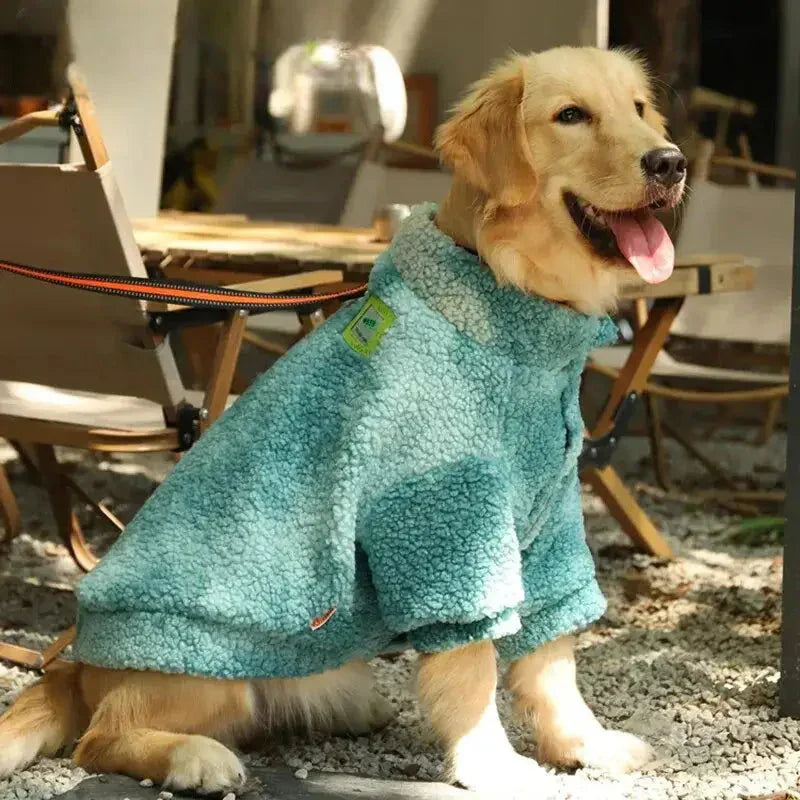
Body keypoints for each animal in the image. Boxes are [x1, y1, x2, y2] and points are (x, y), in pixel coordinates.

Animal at [1, 47, 688, 796]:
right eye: (571, 115)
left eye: (640, 109)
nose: (671, 162)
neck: (511, 319)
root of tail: (75, 662)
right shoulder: (445, 516)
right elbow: (473, 662)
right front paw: (495, 766)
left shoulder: (551, 519)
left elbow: (553, 658)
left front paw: (586, 744)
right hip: (206, 662)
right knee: (101, 737)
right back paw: (193, 757)